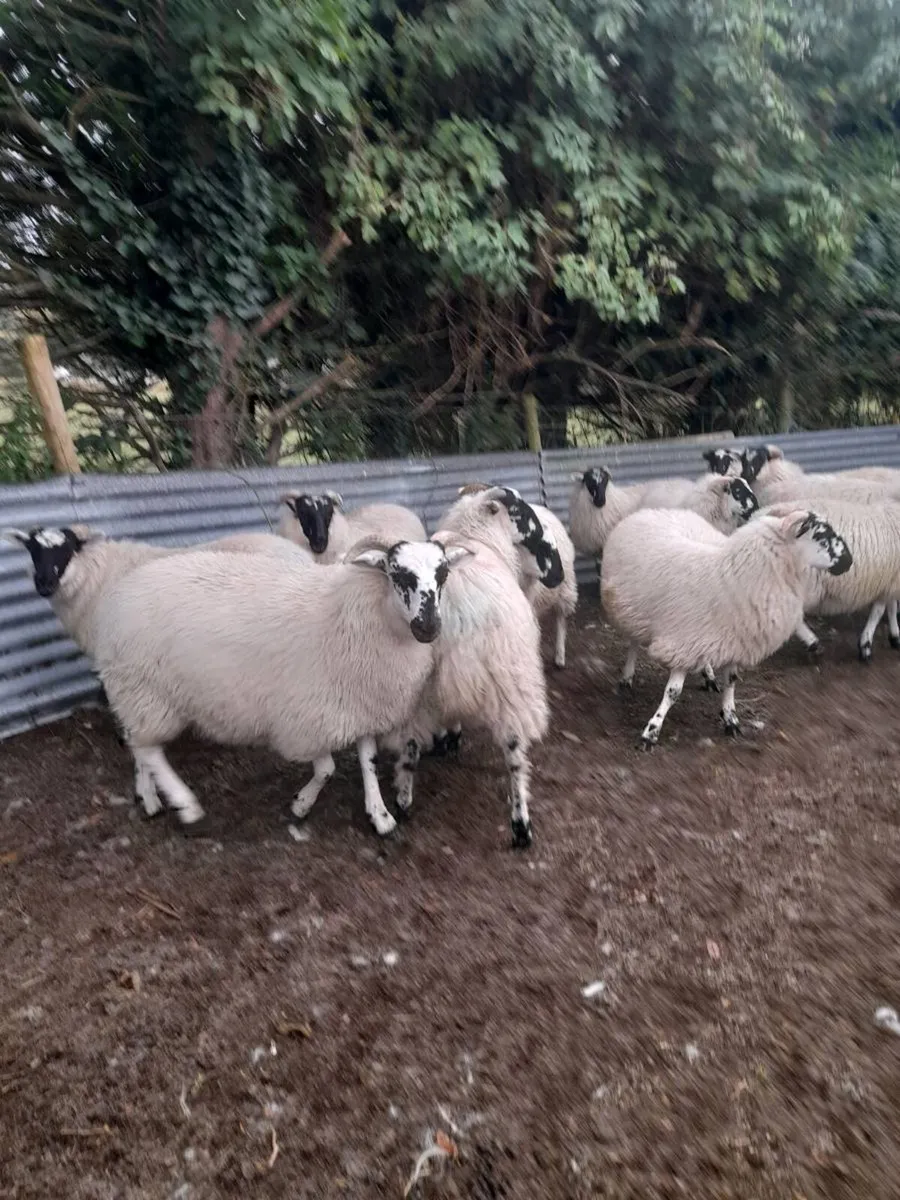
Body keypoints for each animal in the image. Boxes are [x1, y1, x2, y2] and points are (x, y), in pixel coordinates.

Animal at [87, 537, 466, 835]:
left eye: (443, 574)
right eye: (397, 573)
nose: (429, 627)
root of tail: (121, 591)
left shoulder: (360, 702)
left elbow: (368, 760)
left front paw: (380, 814)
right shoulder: (309, 714)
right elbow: (327, 769)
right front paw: (301, 804)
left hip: (140, 694)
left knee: (139, 745)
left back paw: (149, 797)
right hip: (144, 688)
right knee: (148, 749)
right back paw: (187, 806)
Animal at [388, 487, 551, 849]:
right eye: (520, 510)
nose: (540, 536)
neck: (475, 534)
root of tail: (450, 603)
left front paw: (446, 741)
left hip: (411, 684)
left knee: (408, 746)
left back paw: (402, 802)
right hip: (510, 682)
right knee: (515, 757)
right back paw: (521, 824)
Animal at [600, 505, 852, 746]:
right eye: (821, 536)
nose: (849, 561)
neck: (735, 577)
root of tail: (651, 511)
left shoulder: (735, 642)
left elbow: (731, 682)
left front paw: (731, 719)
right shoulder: (682, 643)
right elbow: (672, 693)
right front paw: (652, 731)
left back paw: (708, 676)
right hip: (630, 610)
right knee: (633, 643)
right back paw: (627, 678)